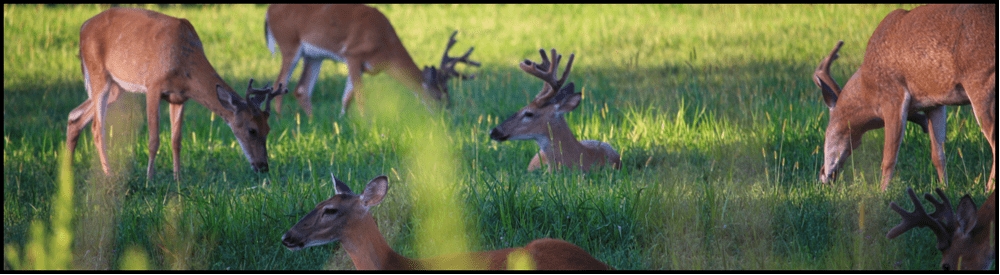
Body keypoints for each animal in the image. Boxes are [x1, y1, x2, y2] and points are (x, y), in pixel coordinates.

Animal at [66, 8, 286, 181]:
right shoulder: (153, 85)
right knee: (97, 128)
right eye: (251, 130)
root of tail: (82, 28)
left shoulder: (179, 98)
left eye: (268, 129)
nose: (263, 166)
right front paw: (149, 179)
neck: (184, 63)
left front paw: (177, 179)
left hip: (115, 87)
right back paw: (108, 174)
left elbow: (176, 141)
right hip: (98, 74)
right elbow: (154, 140)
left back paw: (68, 171)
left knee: (74, 116)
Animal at [262, 4, 480, 116]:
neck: (386, 48)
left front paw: (343, 123)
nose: (446, 113)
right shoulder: (352, 53)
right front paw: (365, 125)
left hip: (314, 56)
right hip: (289, 43)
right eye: (439, 95)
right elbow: (360, 95)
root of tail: (268, 11)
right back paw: (278, 120)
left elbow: (347, 97)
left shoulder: (362, 66)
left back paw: (310, 121)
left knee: (302, 89)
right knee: (279, 84)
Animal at [808, 4, 996, 194]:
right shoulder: (935, 103)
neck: (868, 88)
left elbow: (889, 157)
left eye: (827, 131)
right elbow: (938, 155)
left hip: (982, 84)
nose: (823, 174)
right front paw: (944, 188)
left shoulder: (894, 95)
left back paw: (988, 190)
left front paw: (882, 192)